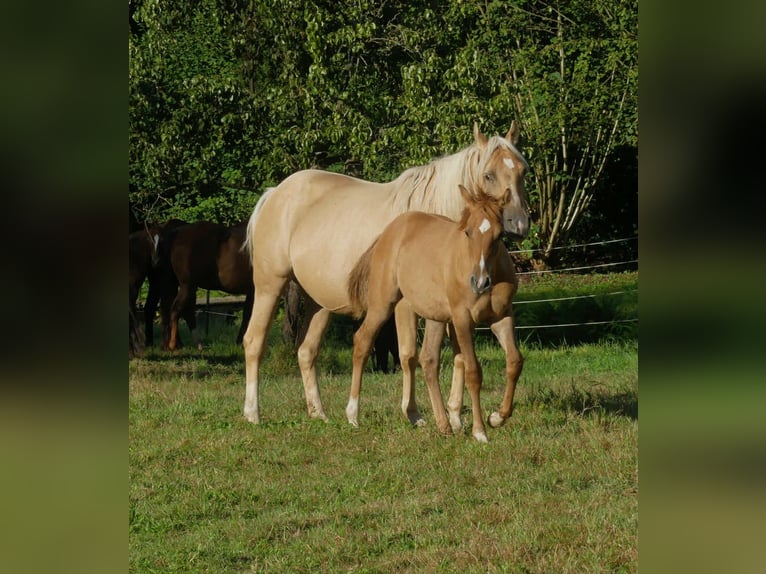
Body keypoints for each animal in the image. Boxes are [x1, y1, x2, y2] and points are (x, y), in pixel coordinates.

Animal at [345, 184, 522, 442]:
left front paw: (497, 417)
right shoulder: (462, 319)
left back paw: (440, 423)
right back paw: (353, 414)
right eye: (467, 232)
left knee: (426, 360)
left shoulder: (501, 317)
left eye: (499, 236)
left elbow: (514, 362)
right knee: (363, 341)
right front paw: (479, 431)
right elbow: (473, 372)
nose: (479, 283)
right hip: (382, 305)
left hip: (431, 316)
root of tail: (389, 231)